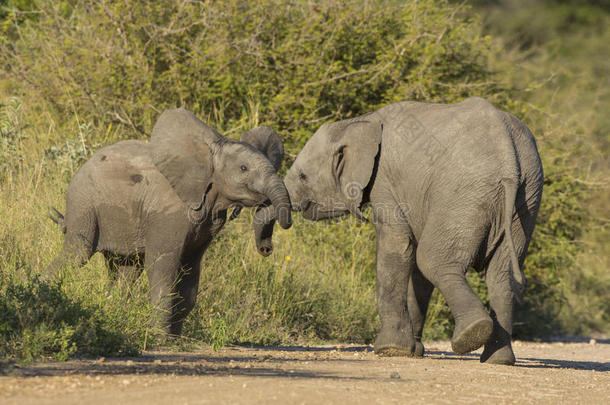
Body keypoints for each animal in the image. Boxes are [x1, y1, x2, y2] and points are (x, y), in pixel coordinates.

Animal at [47, 107, 290, 334]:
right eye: (243, 168)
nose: (266, 249)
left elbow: (190, 273)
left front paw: (175, 339)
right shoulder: (168, 214)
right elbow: (162, 267)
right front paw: (159, 339)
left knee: (126, 272)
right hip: (83, 204)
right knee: (77, 253)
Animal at [256, 98, 540, 366]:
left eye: (303, 176)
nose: (266, 249)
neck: (357, 122)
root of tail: (508, 158)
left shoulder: (384, 181)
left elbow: (397, 248)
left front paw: (391, 350)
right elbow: (416, 270)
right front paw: (412, 351)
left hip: (465, 194)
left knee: (433, 259)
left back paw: (470, 336)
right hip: (525, 199)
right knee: (502, 277)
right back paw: (498, 359)